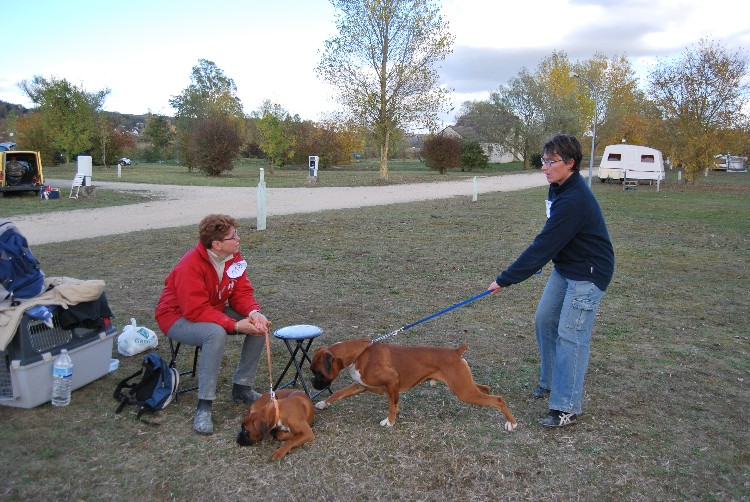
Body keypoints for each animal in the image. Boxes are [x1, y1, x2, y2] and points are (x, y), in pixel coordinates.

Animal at [310, 338, 516, 432]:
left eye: (317, 372)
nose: (312, 382)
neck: (359, 354)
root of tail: (456, 352)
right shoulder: (360, 385)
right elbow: (338, 394)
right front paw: (322, 404)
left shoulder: (392, 380)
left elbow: (391, 405)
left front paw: (390, 422)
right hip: (465, 386)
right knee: (486, 389)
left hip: (463, 391)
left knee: (498, 399)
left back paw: (511, 423)